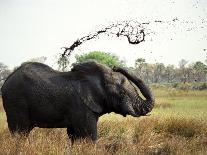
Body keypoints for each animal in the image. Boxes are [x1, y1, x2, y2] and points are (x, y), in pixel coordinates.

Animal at [0, 60, 154, 142]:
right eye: (121, 93)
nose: (116, 66)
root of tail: (7, 79)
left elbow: (73, 135)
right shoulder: (81, 106)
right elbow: (90, 136)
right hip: (15, 101)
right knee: (20, 132)